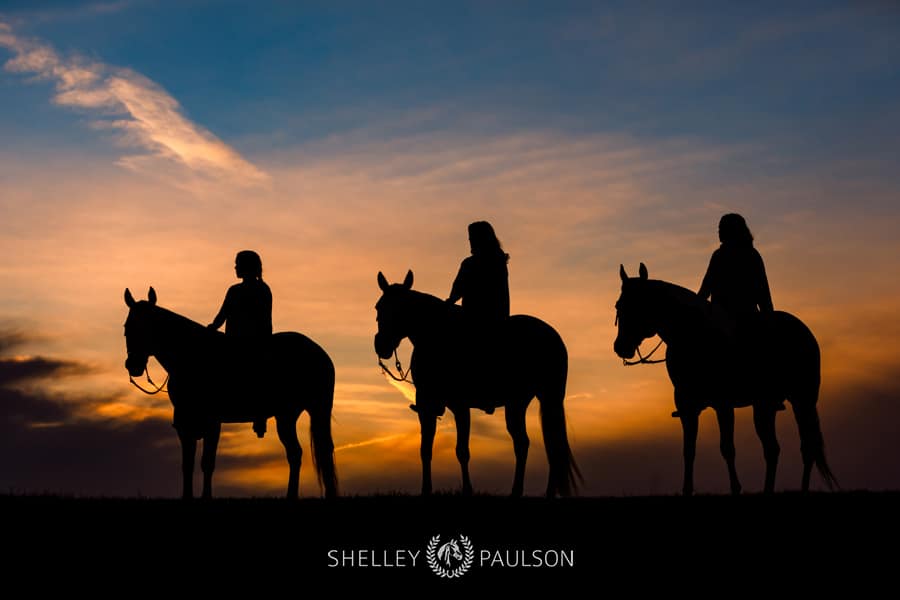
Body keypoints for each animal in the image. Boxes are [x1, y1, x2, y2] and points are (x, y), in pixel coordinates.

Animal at [123, 288, 338, 500]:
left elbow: (207, 462)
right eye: (127, 327)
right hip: (296, 414)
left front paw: (206, 497)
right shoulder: (185, 424)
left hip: (297, 414)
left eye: (148, 326)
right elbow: (187, 464)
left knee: (301, 453)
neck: (191, 356)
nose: (133, 365)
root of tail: (321, 354)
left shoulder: (212, 422)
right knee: (304, 453)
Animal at [374, 272, 580, 496]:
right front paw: (426, 491)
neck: (437, 337)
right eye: (378, 308)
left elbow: (462, 451)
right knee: (537, 443)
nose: (381, 345)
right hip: (529, 401)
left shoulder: (460, 405)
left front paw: (467, 490)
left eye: (400, 308)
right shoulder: (425, 405)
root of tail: (554, 336)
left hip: (535, 399)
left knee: (540, 444)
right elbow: (425, 449)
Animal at [612, 264, 836, 494]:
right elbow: (688, 450)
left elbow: (727, 448)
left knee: (807, 446)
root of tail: (805, 331)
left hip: (803, 400)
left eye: (639, 305)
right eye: (619, 305)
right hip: (764, 406)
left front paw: (736, 488)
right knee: (772, 448)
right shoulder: (687, 407)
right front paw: (687, 490)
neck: (693, 337)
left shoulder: (723, 404)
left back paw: (803, 488)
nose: (621, 347)